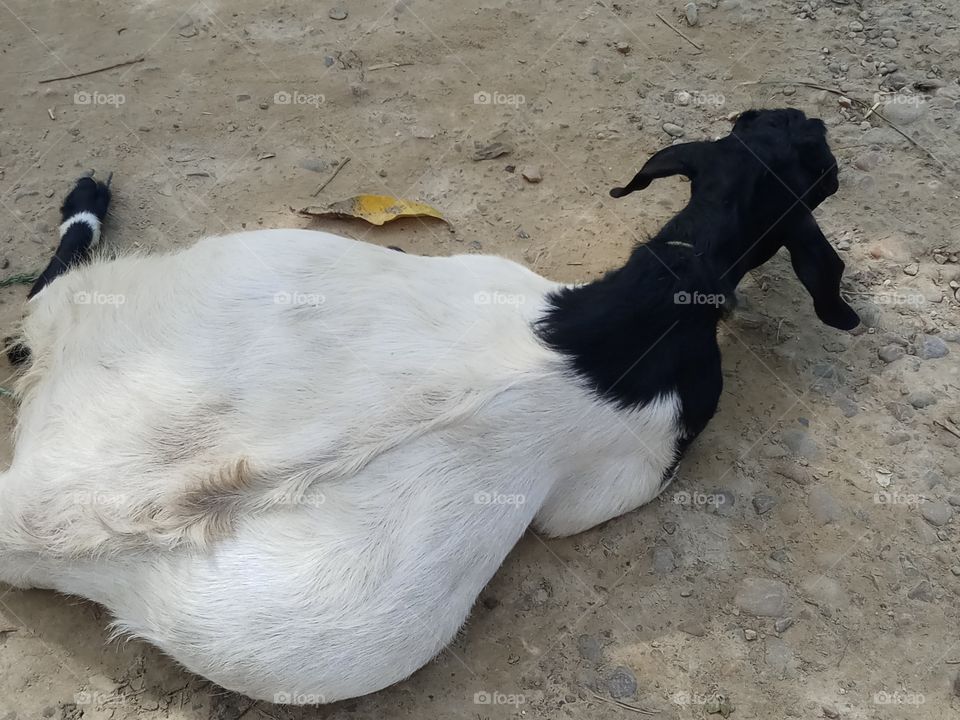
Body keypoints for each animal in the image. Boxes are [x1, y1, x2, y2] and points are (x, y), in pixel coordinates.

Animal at [0, 109, 856, 704]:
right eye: (815, 159)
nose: (810, 120)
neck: (653, 304)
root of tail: (50, 512)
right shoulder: (631, 471)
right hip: (127, 289)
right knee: (49, 285)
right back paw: (86, 197)